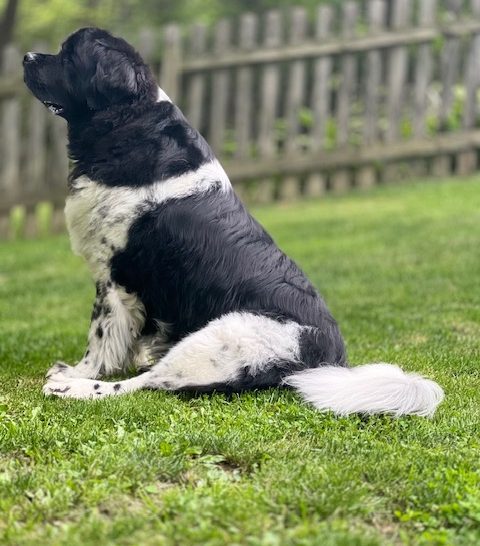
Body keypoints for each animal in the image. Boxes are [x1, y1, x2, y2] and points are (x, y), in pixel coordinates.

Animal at [21, 27, 442, 414]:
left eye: (68, 56)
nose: (26, 56)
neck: (128, 124)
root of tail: (323, 362)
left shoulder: (114, 277)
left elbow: (101, 337)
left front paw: (79, 371)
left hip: (220, 338)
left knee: (145, 384)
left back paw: (69, 389)